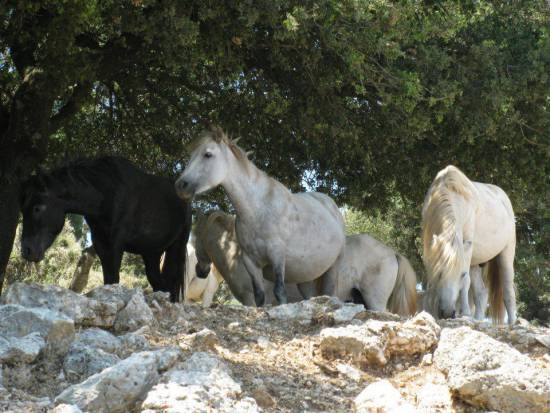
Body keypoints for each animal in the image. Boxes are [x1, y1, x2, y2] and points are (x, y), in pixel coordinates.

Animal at [20, 156, 193, 300]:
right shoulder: (101, 244)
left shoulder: (115, 244)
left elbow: (113, 278)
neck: (107, 192)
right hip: (151, 253)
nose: (26, 251)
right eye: (23, 210)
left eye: (37, 208)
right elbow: (108, 279)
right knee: (159, 283)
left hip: (176, 248)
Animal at [177, 127, 348, 304]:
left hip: (333, 267)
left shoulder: (277, 256)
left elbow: (280, 292)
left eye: (208, 154)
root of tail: (331, 205)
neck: (258, 210)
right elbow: (259, 297)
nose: (180, 185)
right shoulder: (251, 263)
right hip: (306, 276)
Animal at [422, 166, 516, 324]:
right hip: (475, 263)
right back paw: (478, 320)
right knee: (481, 293)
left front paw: (465, 313)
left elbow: (466, 283)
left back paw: (512, 324)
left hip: (505, 256)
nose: (448, 313)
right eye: (439, 273)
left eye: (461, 274)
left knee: (509, 292)